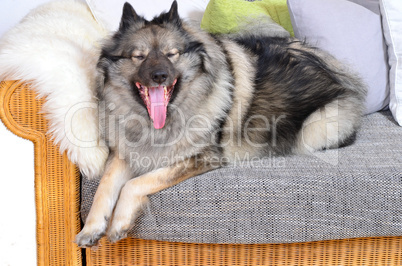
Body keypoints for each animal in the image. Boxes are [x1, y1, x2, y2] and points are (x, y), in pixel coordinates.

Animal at [75, 0, 368, 247]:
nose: (159, 76)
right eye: (139, 56)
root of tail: (342, 73)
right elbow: (105, 186)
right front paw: (91, 228)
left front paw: (119, 223)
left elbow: (134, 184)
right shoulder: (126, 153)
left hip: (314, 129)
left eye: (172, 54)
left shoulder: (202, 157)